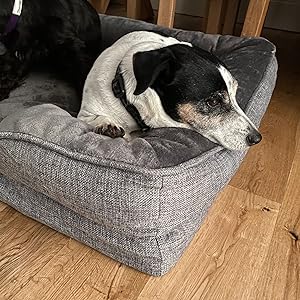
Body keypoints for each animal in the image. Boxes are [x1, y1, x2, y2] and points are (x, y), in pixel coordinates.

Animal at [79, 30, 262, 150]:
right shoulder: (86, 112)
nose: (257, 138)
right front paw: (106, 124)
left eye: (235, 94)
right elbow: (95, 118)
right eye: (213, 101)